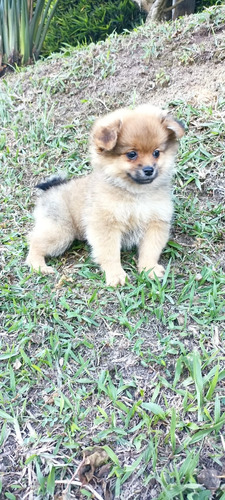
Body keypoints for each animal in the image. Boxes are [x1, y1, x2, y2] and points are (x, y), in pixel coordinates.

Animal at [25, 104, 185, 286]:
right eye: (131, 154)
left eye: (156, 153)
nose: (149, 170)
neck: (135, 193)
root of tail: (51, 189)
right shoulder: (105, 225)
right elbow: (110, 253)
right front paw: (116, 275)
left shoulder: (155, 223)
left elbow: (150, 250)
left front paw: (149, 268)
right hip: (60, 232)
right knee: (35, 243)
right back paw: (39, 266)